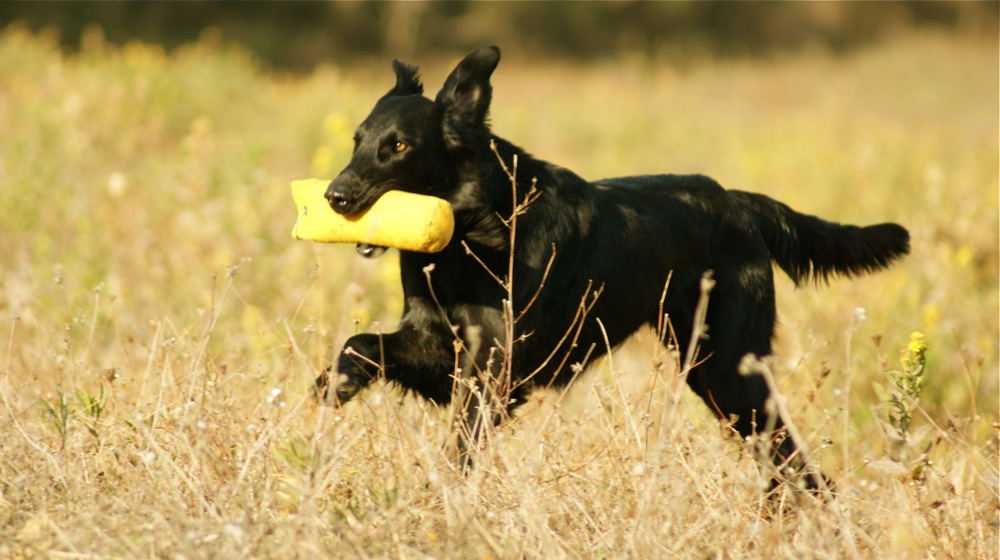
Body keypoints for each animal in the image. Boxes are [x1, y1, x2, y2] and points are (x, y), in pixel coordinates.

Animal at [316, 46, 912, 488]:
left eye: (398, 146)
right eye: (357, 141)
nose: (335, 197)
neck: (477, 230)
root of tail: (740, 203)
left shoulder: (496, 367)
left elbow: (463, 445)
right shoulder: (439, 345)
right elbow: (360, 344)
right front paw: (334, 385)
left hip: (726, 369)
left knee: (793, 457)